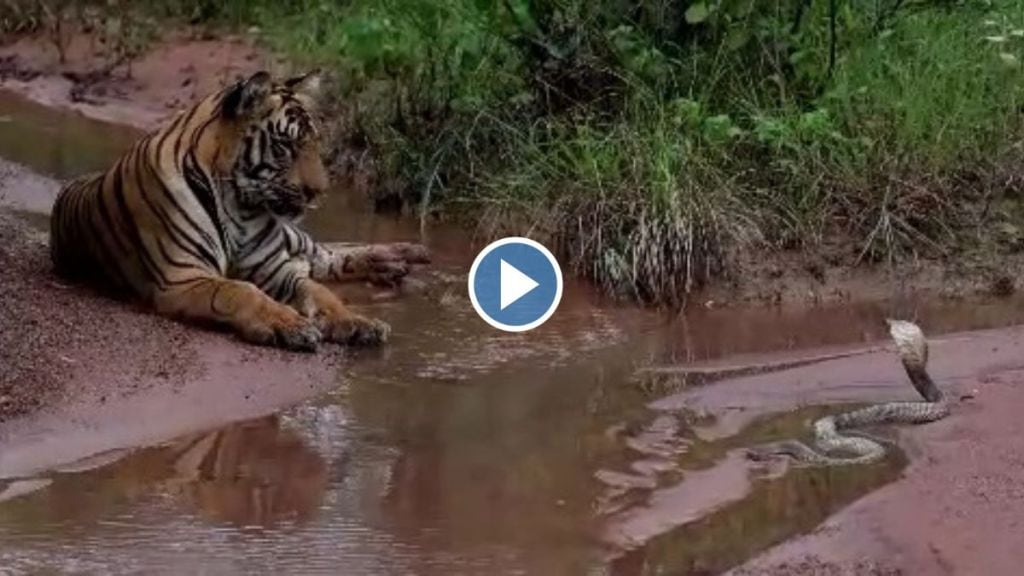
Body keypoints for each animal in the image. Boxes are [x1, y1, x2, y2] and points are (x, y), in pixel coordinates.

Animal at [48, 70, 391, 350]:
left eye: (316, 144)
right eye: (285, 147)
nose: (318, 191)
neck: (240, 207)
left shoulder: (274, 269)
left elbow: (320, 291)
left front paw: (357, 322)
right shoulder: (182, 276)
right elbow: (241, 290)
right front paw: (290, 324)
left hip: (294, 238)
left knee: (324, 255)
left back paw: (394, 260)